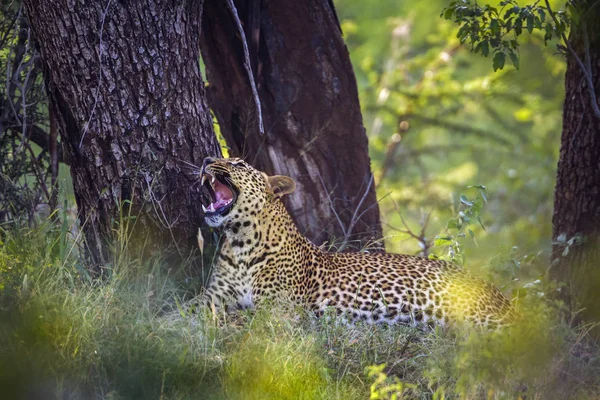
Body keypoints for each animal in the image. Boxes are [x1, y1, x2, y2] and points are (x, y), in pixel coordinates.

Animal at [185, 156, 512, 328]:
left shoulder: (279, 309)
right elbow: (185, 307)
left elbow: (246, 320)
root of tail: (497, 292)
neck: (241, 241)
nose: (206, 159)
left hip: (479, 315)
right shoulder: (213, 296)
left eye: (238, 163)